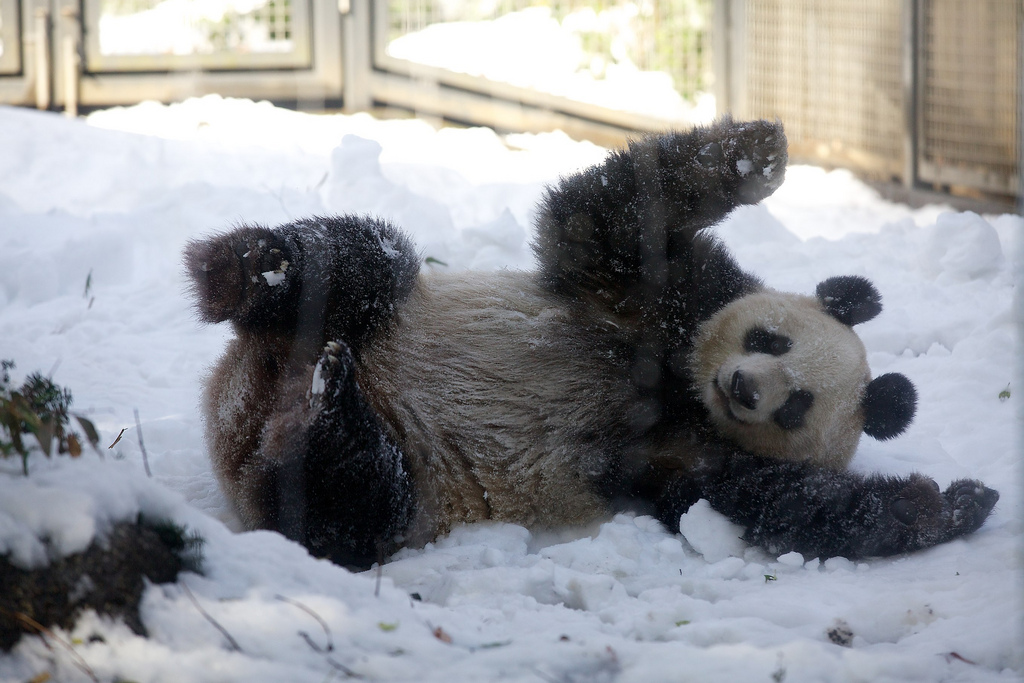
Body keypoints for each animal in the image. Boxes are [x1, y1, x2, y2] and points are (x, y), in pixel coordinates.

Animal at [182, 118, 991, 573]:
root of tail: (237, 407)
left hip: (358, 481)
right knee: (363, 261)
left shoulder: (698, 464)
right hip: (358, 315)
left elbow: (810, 508)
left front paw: (957, 502)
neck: (677, 388)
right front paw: (753, 153)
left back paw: (322, 412)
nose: (744, 387)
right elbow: (605, 218)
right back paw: (243, 270)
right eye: (769, 336)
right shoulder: (660, 300)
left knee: (345, 503)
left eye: (797, 405)